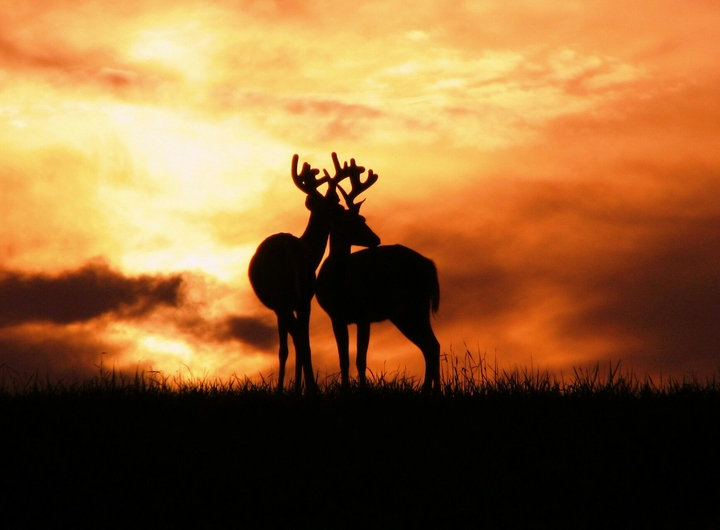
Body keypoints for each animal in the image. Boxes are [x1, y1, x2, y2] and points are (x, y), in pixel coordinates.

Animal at [316, 158, 441, 393]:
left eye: (363, 218)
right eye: (351, 221)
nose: (376, 239)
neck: (340, 283)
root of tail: (430, 266)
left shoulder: (363, 314)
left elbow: (360, 359)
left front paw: (362, 390)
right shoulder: (337, 317)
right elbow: (344, 359)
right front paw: (345, 390)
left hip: (415, 305)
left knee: (432, 345)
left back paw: (432, 390)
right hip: (403, 313)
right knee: (430, 346)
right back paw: (429, 390)